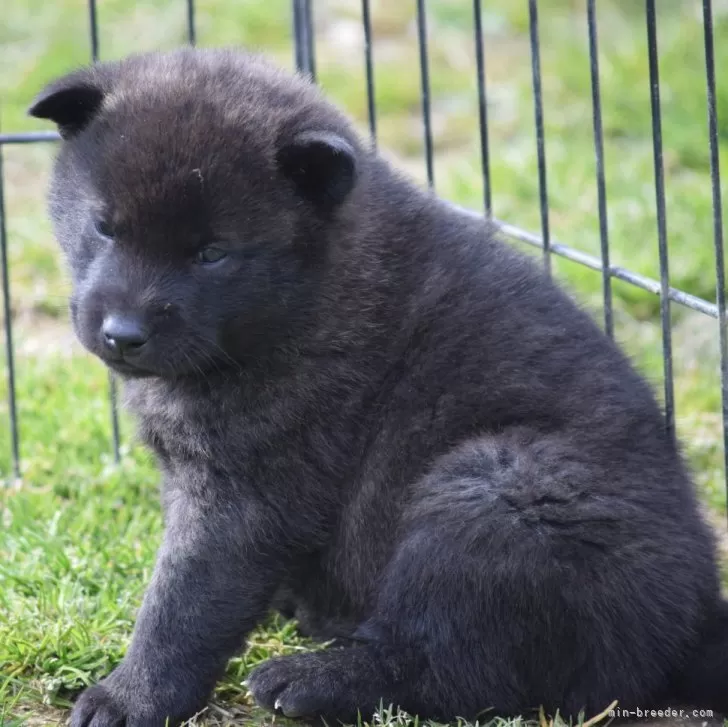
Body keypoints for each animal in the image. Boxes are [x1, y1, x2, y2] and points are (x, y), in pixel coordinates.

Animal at [29, 49, 728, 727]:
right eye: (104, 227)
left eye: (212, 253)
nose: (123, 334)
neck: (303, 298)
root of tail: (694, 623)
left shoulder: (248, 488)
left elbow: (183, 602)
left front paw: (129, 698)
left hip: (496, 491)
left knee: (450, 665)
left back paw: (314, 680)